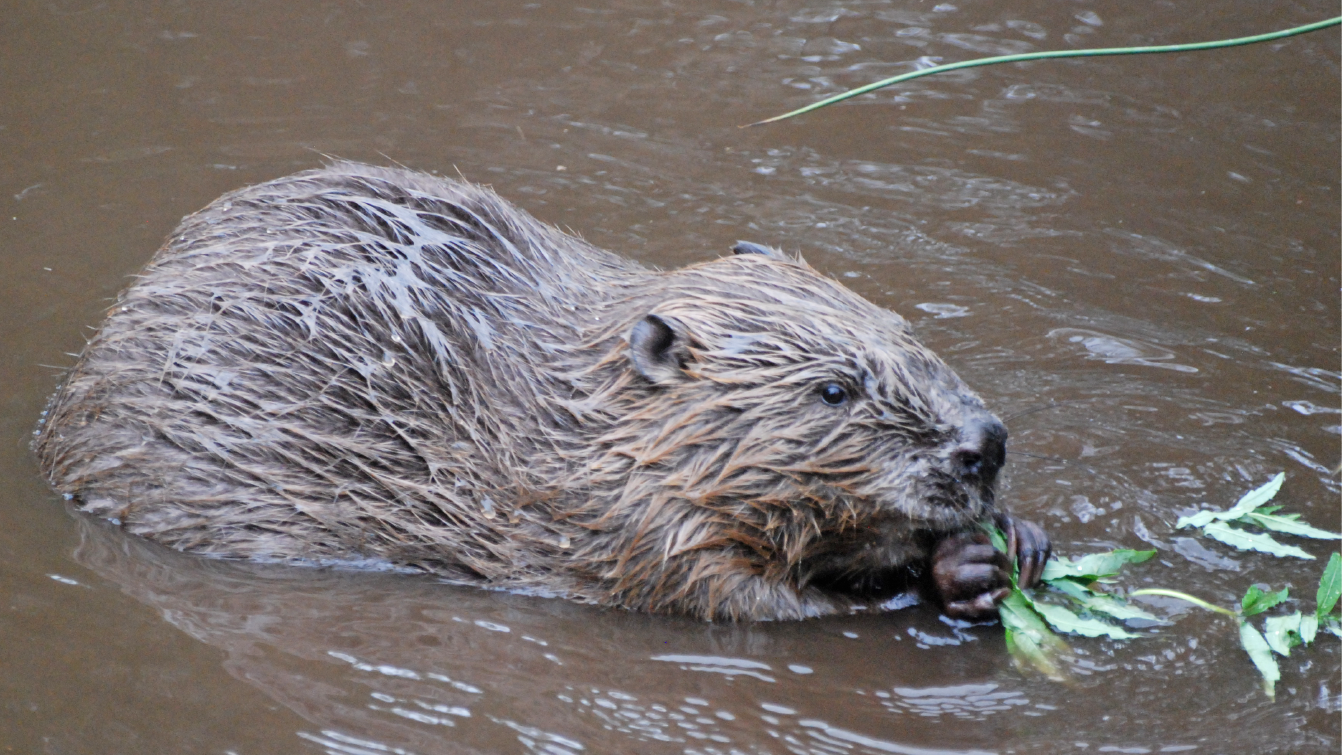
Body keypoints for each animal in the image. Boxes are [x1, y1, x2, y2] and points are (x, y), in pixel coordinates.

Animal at [31, 159, 1046, 619]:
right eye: (834, 390)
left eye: (905, 330)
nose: (984, 443)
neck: (578, 417)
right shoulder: (629, 525)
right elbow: (747, 598)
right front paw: (960, 571)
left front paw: (1013, 543)